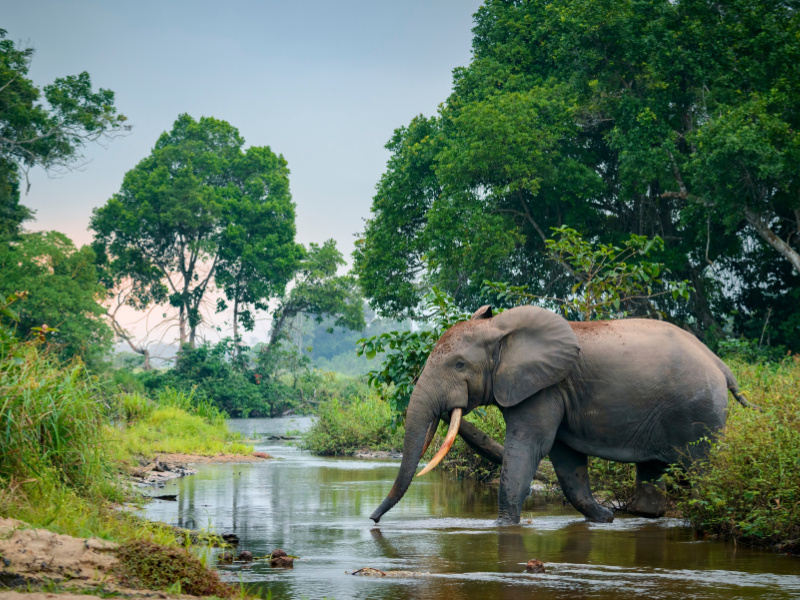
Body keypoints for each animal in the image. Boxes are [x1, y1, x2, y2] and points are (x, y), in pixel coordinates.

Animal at [372, 304, 752, 524]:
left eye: (460, 365)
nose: (373, 521)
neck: (502, 330)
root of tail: (721, 364)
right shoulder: (554, 391)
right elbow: (566, 459)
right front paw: (603, 519)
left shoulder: (543, 387)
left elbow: (529, 446)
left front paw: (503, 527)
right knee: (652, 472)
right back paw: (643, 516)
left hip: (698, 410)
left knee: (702, 469)